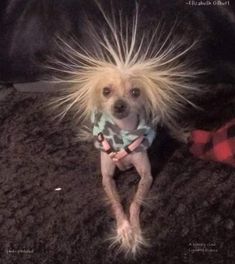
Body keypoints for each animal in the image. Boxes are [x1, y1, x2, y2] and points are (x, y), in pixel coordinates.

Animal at [51, 1, 202, 256]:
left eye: (135, 92)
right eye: (106, 91)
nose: (119, 105)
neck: (121, 134)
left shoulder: (146, 176)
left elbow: (133, 202)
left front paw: (135, 231)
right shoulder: (106, 177)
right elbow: (116, 203)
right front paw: (123, 229)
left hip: (162, 115)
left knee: (169, 122)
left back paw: (181, 134)